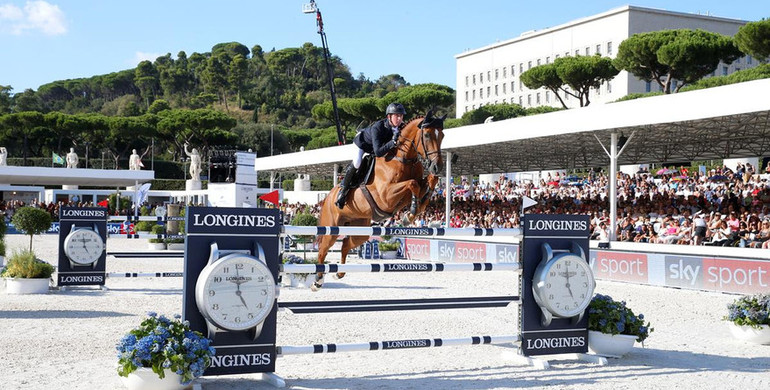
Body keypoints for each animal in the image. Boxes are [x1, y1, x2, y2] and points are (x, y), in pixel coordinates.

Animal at [310, 109, 444, 290]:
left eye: (442, 135)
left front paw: (412, 212)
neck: (403, 158)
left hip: (360, 229)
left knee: (345, 244)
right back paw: (317, 281)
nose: (437, 167)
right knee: (323, 249)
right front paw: (411, 212)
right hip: (332, 228)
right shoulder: (385, 196)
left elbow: (428, 182)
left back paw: (339, 273)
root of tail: (327, 198)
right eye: (428, 135)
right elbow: (412, 183)